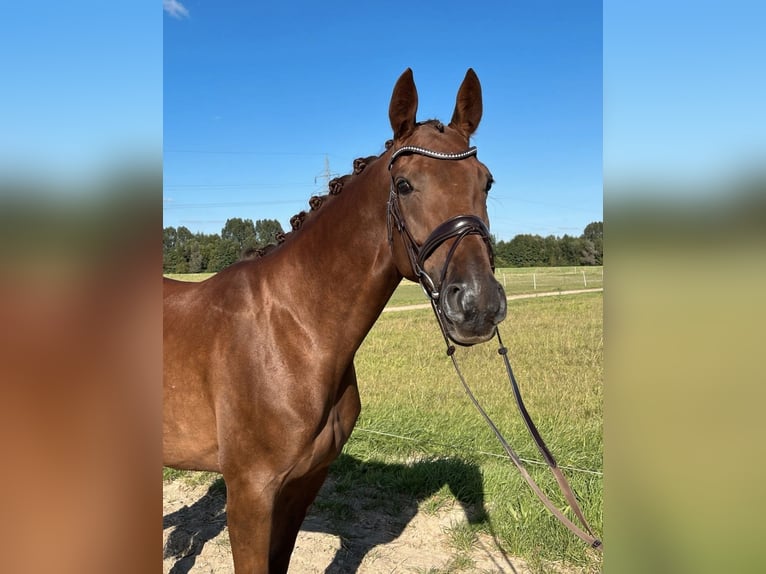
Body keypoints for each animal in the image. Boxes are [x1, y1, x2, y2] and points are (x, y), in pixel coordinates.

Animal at [164, 70, 510, 572]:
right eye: (403, 184)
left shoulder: (302, 486)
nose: (477, 303)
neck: (292, 333)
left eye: (486, 182)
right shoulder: (249, 494)